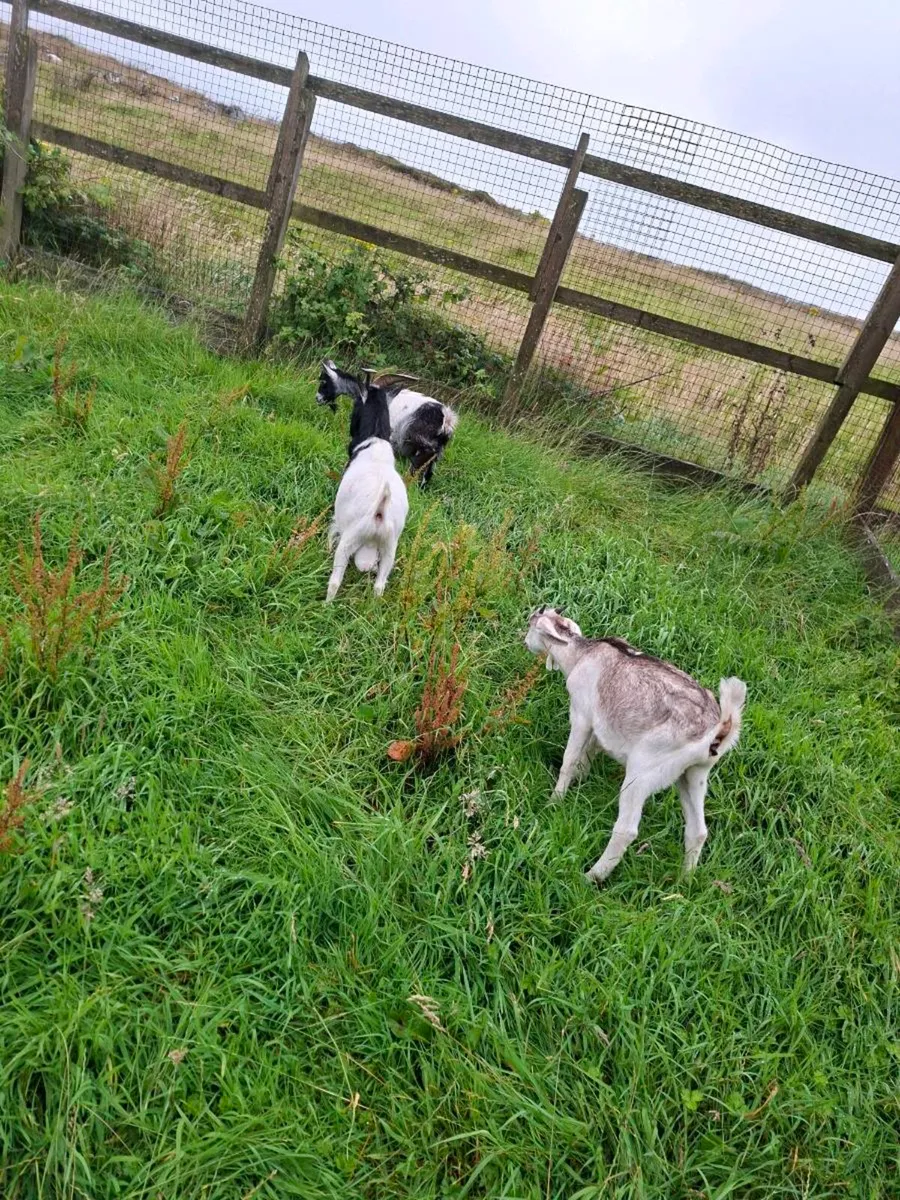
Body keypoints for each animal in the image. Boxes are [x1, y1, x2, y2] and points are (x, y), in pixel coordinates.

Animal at [324, 363, 409, 602]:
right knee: (379, 586)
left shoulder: (338, 524)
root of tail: (380, 512)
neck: (374, 444)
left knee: (335, 581)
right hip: (389, 549)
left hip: (350, 539)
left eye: (355, 405)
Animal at [524, 607, 746, 883]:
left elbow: (570, 759)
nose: (525, 642)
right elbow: (589, 753)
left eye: (531, 622)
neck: (580, 654)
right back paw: (684, 880)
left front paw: (554, 801)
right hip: (694, 774)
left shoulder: (581, 715)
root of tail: (719, 728)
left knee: (627, 829)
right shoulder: (600, 725)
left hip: (643, 772)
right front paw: (582, 780)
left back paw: (591, 876)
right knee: (698, 831)